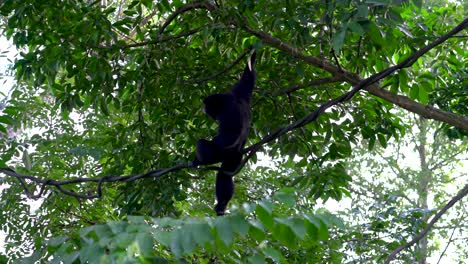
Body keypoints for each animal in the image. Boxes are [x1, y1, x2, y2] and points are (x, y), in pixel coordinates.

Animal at [193, 50, 258, 216]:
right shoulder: (239, 93)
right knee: (224, 173)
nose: (205, 110)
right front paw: (253, 54)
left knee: (204, 145)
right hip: (235, 157)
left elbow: (231, 133)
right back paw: (223, 203)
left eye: (208, 107)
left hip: (226, 153)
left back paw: (202, 159)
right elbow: (247, 77)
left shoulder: (229, 110)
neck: (228, 99)